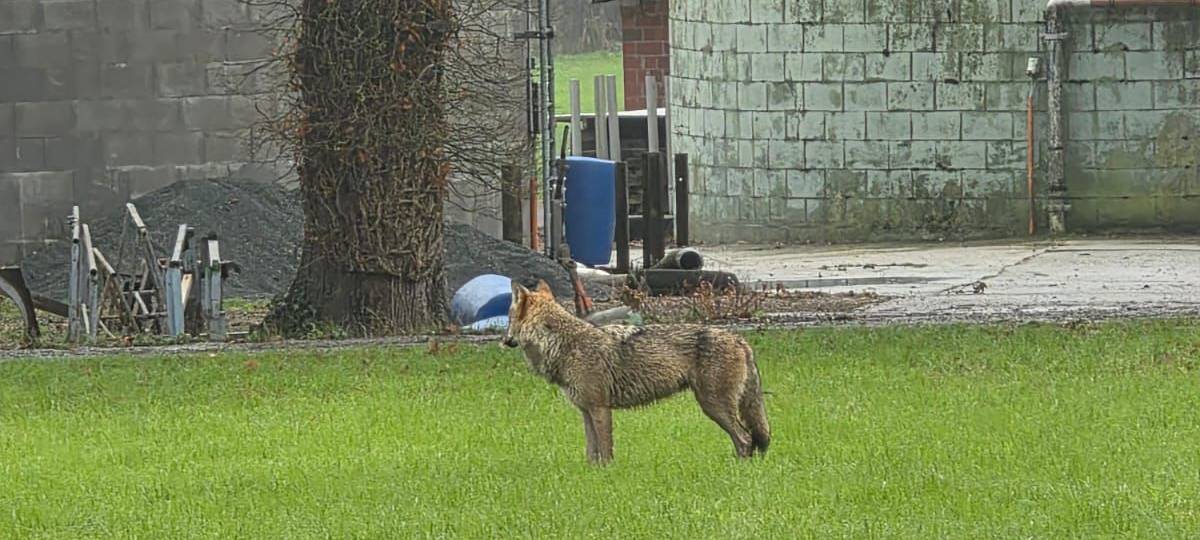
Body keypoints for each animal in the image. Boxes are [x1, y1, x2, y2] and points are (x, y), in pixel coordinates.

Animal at [502, 280, 770, 464]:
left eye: (508, 319)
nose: (503, 341)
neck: (564, 345)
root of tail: (739, 339)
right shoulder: (586, 411)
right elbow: (591, 454)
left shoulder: (600, 409)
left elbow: (606, 452)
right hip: (716, 407)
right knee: (746, 439)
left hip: (713, 406)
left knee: (746, 438)